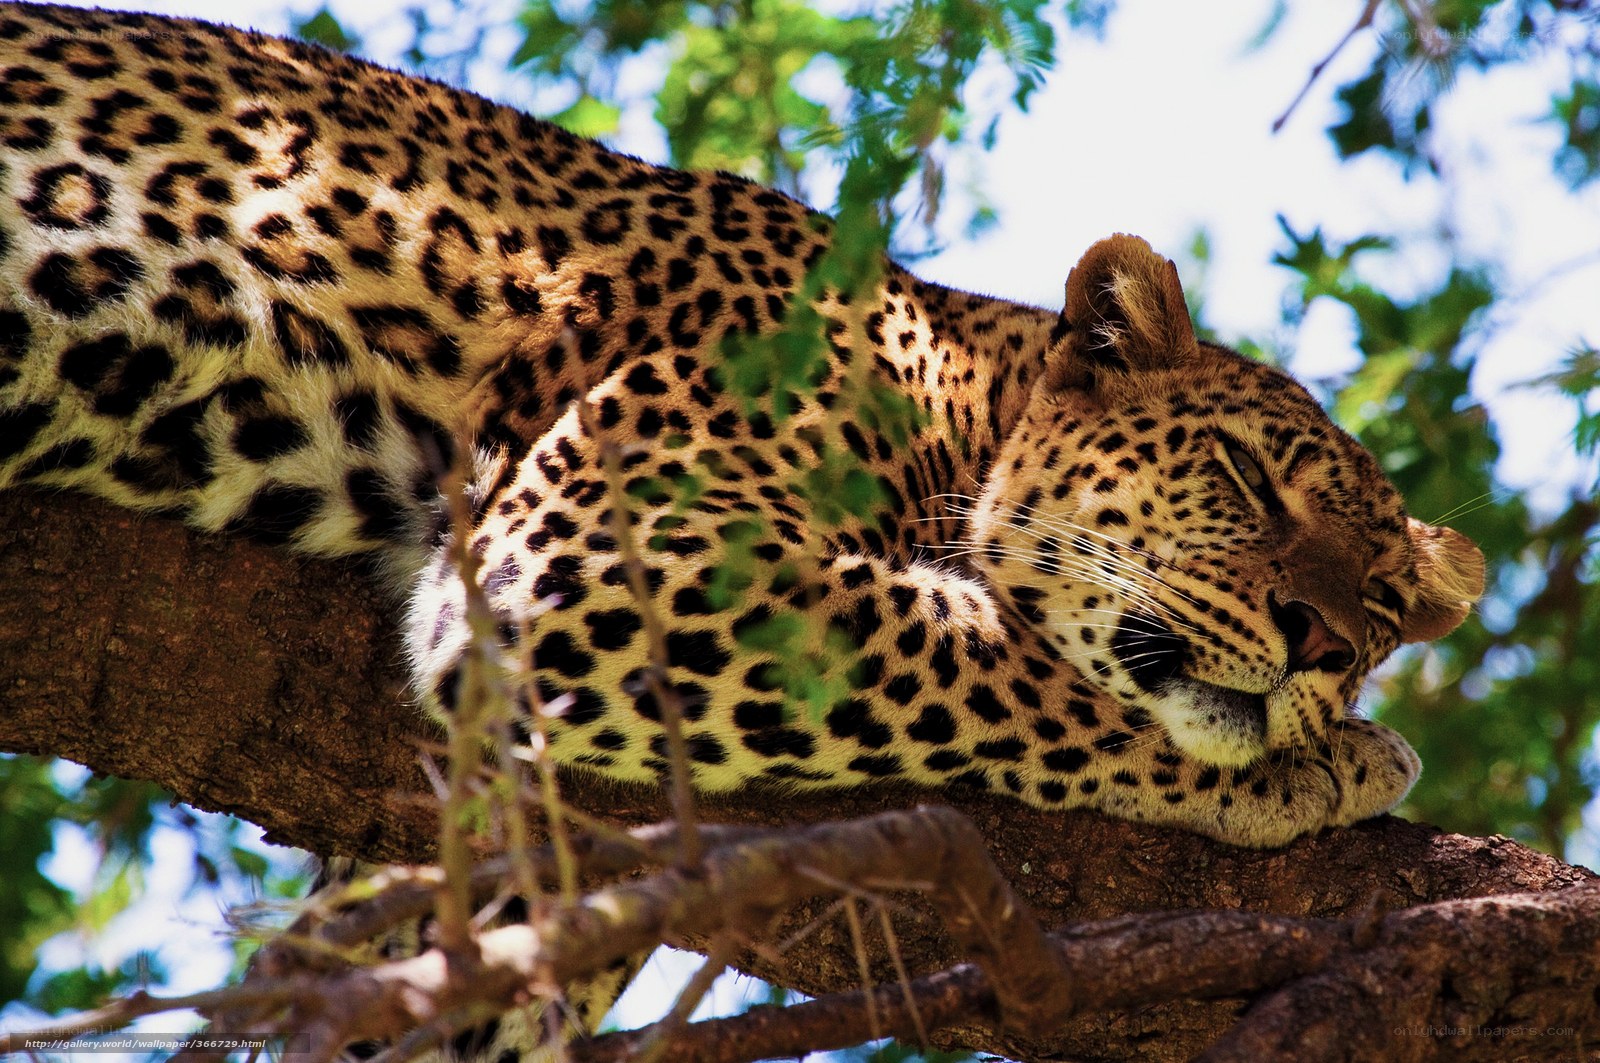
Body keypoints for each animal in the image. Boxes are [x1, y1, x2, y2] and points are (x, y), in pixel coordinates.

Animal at [0, 0, 1485, 873]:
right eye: (1244, 476)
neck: (951, 393)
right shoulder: (605, 548)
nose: (1327, 647)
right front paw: (1319, 763)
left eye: (1387, 608)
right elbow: (995, 660)